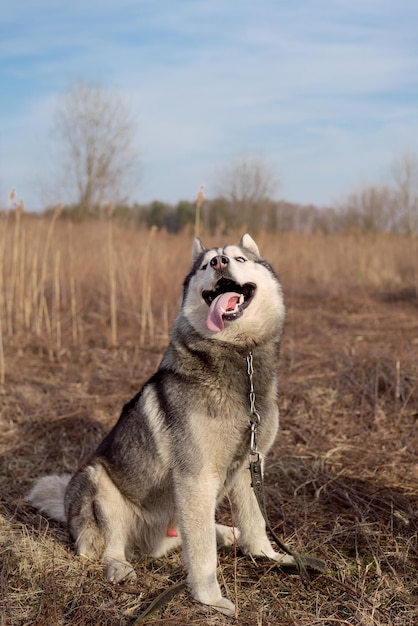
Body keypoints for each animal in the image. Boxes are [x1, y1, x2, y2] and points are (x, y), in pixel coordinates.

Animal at [27, 234, 292, 616]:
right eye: (206, 264)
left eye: (239, 258)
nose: (220, 263)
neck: (241, 362)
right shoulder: (196, 477)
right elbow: (203, 554)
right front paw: (209, 598)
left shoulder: (248, 465)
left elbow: (255, 520)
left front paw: (266, 555)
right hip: (98, 483)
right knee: (108, 549)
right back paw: (119, 567)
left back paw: (227, 533)